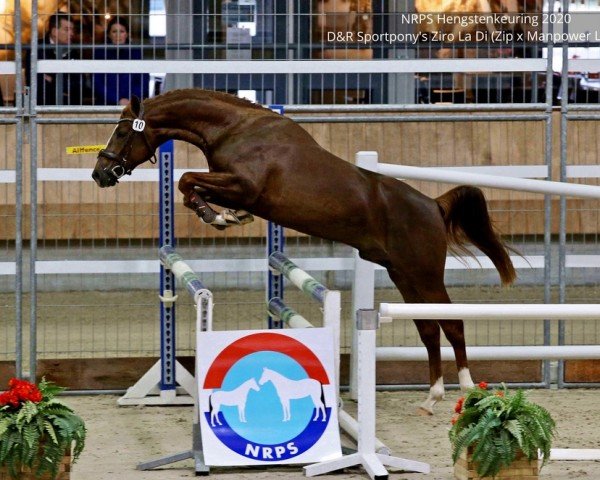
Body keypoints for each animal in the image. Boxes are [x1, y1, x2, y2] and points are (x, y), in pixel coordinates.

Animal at [92, 88, 516, 414]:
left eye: (121, 132)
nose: (100, 174)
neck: (236, 129)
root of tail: (433, 205)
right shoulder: (233, 185)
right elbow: (188, 186)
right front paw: (225, 215)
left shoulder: (244, 185)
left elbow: (186, 180)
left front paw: (221, 216)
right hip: (403, 275)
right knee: (428, 329)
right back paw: (432, 397)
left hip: (424, 274)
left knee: (452, 324)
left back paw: (466, 389)